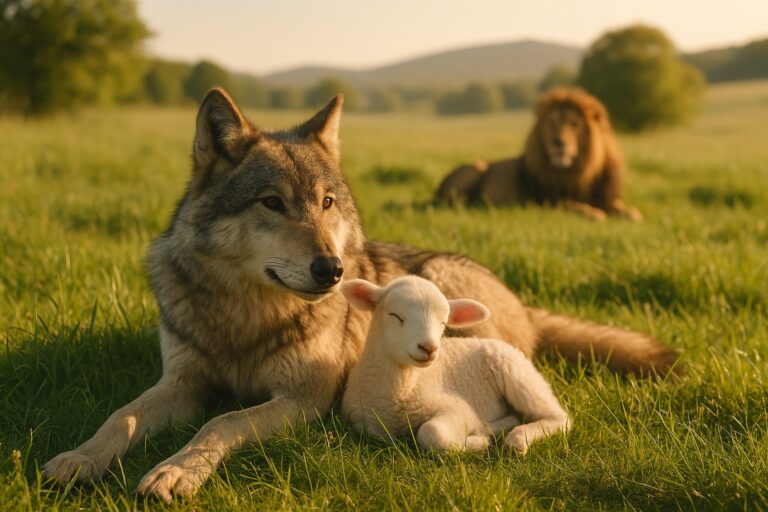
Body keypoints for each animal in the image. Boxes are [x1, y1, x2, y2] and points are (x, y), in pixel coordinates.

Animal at [435, 88, 642, 221]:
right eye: (551, 123)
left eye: (575, 124)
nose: (558, 142)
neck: (577, 171)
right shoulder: (549, 201)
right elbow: (574, 206)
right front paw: (594, 213)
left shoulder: (606, 197)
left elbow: (623, 209)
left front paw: (632, 213)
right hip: (477, 167)